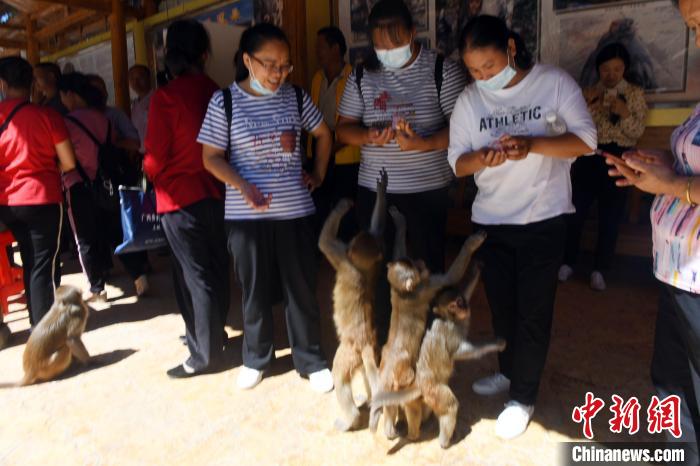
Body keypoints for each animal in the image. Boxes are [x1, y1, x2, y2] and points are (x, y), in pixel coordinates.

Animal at [320, 169, 396, 432]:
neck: (362, 269)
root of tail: (364, 342)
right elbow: (378, 229)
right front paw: (382, 189)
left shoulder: (342, 259)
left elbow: (324, 242)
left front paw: (341, 207)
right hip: (365, 354)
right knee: (365, 371)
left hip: (348, 352)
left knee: (339, 374)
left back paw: (351, 419)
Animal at [370, 262, 506, 448]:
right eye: (453, 306)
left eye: (459, 301)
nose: (463, 309)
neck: (452, 318)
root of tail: (419, 383)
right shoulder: (450, 331)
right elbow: (461, 352)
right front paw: (496, 343)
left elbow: (468, 289)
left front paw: (475, 270)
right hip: (434, 390)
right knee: (450, 407)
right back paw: (442, 441)